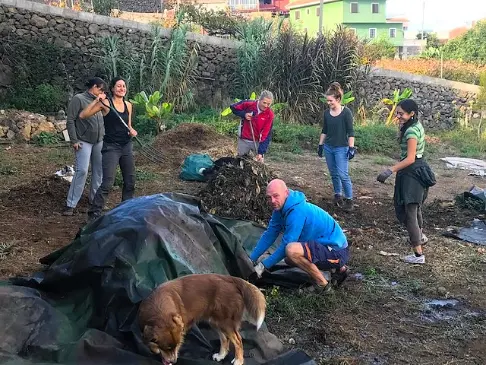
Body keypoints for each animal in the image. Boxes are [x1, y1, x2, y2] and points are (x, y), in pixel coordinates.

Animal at [137, 272, 266, 364]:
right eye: (167, 348)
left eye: (174, 346)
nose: (173, 362)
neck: (158, 308)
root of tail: (231, 279)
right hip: (216, 321)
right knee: (225, 339)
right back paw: (221, 356)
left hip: (226, 322)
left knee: (238, 340)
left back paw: (238, 360)